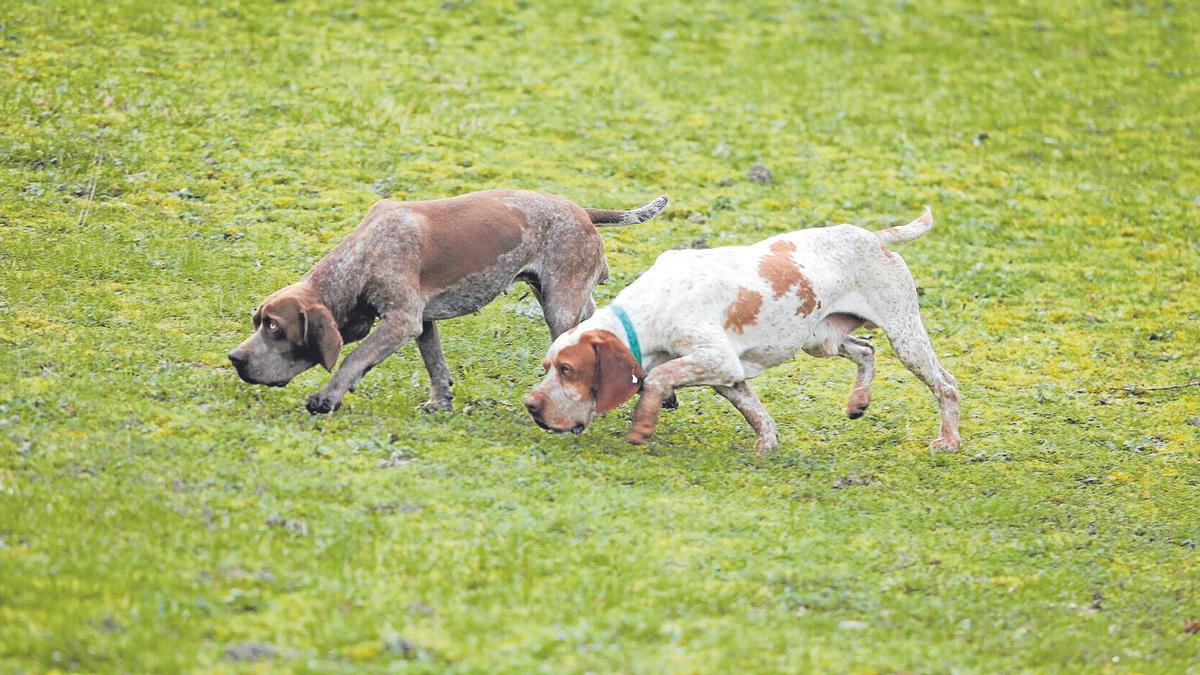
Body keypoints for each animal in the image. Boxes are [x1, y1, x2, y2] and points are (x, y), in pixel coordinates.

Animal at [229, 187, 672, 410]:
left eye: (275, 328)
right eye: (257, 321)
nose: (235, 358)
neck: (361, 255)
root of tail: (582, 211)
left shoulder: (402, 320)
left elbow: (354, 359)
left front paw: (327, 398)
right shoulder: (423, 323)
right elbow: (436, 367)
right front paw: (440, 402)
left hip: (560, 309)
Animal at [525, 206, 964, 451]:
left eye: (568, 370)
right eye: (548, 368)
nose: (531, 406)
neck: (654, 306)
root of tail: (875, 237)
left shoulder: (717, 359)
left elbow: (659, 379)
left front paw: (643, 424)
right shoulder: (727, 376)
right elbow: (757, 415)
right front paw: (765, 448)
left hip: (905, 337)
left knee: (946, 385)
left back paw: (948, 442)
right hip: (821, 338)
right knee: (866, 351)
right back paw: (858, 401)